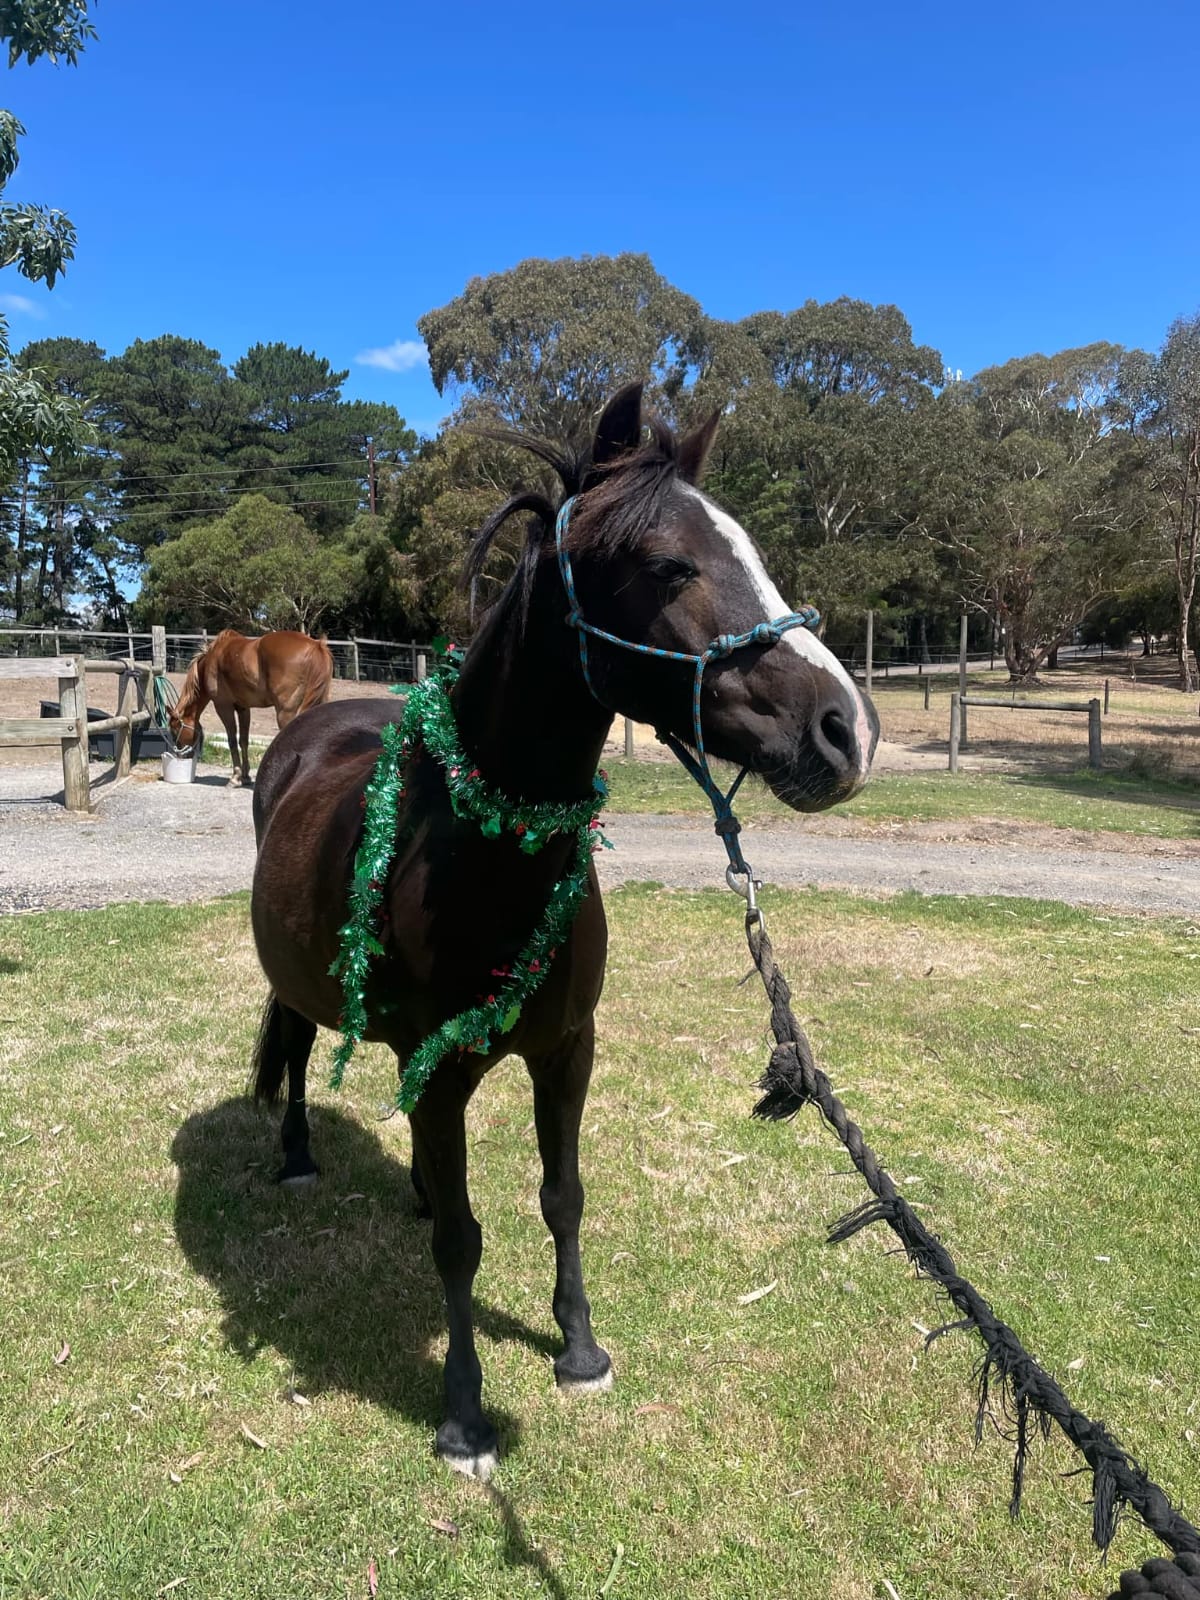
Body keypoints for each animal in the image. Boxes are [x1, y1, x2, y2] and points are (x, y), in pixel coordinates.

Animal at [168, 629, 334, 785]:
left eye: (175, 730)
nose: (181, 755)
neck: (212, 660)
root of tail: (316, 645)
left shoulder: (223, 706)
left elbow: (232, 741)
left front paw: (235, 777)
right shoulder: (243, 708)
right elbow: (244, 741)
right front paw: (245, 776)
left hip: (285, 713)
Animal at [247, 383, 879, 1479]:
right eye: (669, 564)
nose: (846, 730)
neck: (481, 845)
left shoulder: (566, 1051)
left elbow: (562, 1194)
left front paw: (579, 1348)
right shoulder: (443, 1070)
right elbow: (463, 1242)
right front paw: (463, 1416)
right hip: (302, 993)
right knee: (290, 1051)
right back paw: (296, 1156)